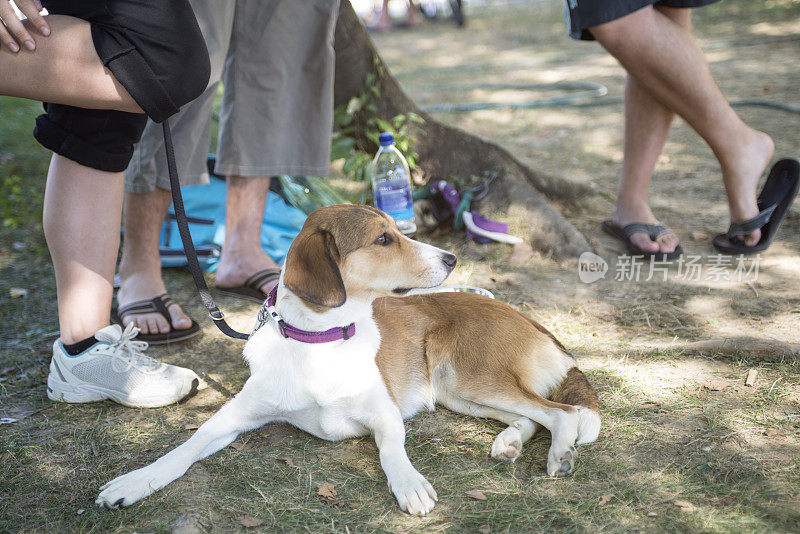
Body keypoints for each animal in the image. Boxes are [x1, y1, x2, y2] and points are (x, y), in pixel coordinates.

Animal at [95, 204, 600, 516]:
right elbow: (185, 448)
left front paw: (409, 483)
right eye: (383, 239)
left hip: (469, 378)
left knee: (564, 413)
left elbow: (392, 451)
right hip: (461, 392)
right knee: (536, 416)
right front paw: (135, 482)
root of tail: (526, 317)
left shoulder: (386, 415)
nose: (452, 257)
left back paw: (559, 455)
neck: (321, 341)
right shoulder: (232, 419)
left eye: (397, 232)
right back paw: (510, 442)